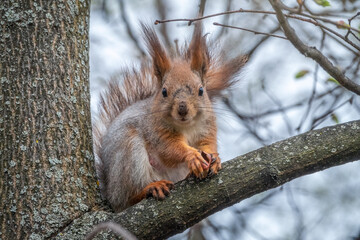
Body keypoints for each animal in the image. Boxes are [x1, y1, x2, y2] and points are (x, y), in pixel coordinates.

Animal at [93, 23, 248, 212]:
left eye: (201, 90)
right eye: (164, 92)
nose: (182, 109)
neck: (187, 126)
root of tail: (110, 192)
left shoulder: (207, 127)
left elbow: (207, 143)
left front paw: (215, 158)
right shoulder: (157, 130)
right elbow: (170, 148)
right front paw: (192, 156)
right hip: (128, 153)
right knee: (127, 199)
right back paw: (150, 188)